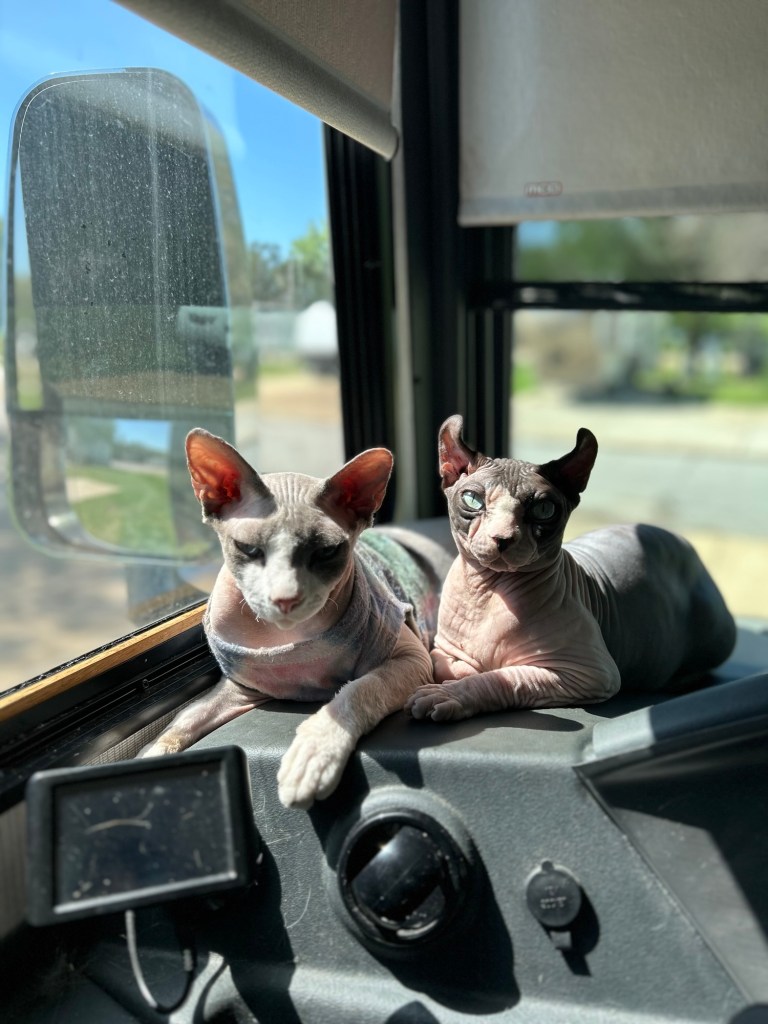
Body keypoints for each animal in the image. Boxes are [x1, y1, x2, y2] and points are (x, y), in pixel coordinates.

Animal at [141, 428, 442, 809]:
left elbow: (358, 689)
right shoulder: (239, 688)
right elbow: (185, 718)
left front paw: (312, 757)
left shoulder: (410, 658)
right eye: (248, 549)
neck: (287, 639)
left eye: (326, 552)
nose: (285, 599)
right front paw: (147, 767)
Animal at [405, 414, 736, 722]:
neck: (488, 590)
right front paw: (463, 671)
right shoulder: (443, 648)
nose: (502, 538)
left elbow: (503, 677)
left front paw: (451, 693)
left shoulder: (592, 673)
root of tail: (684, 544)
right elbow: (442, 663)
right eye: (473, 500)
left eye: (543, 509)